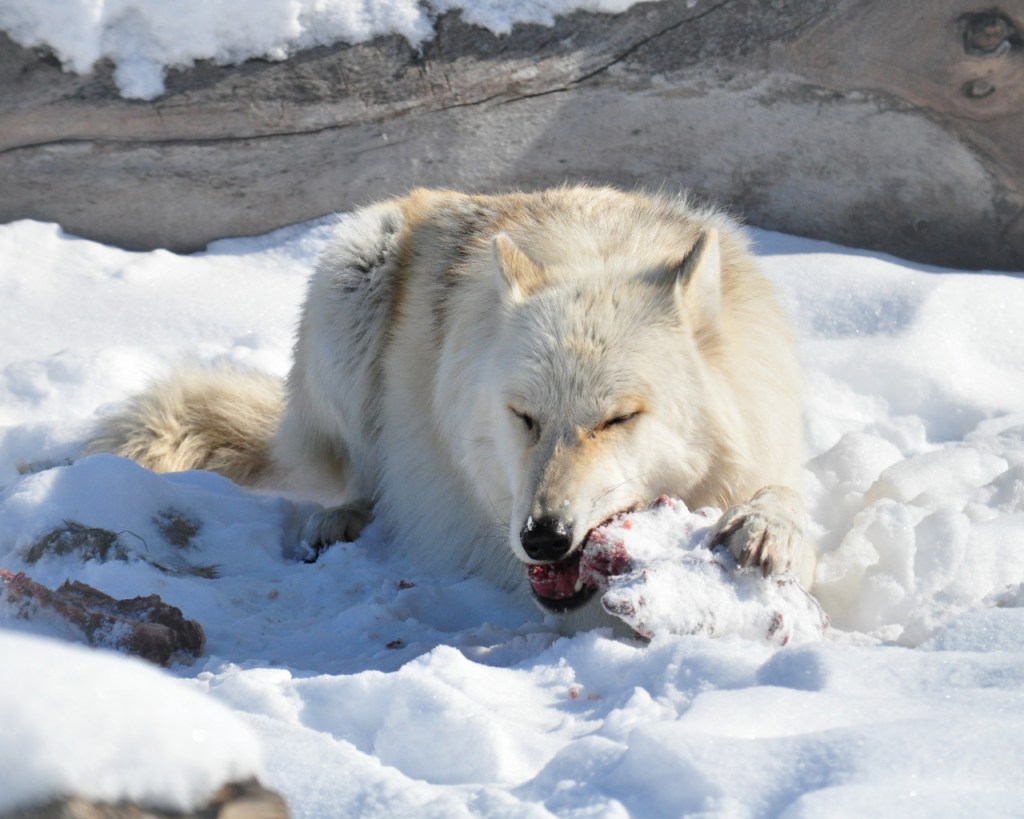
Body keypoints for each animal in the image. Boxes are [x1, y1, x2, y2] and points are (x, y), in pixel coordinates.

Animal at [88, 186, 814, 630]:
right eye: (524, 416)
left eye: (618, 418)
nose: (542, 536)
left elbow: (783, 494)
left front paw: (765, 528)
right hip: (351, 277)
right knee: (363, 475)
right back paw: (343, 517)